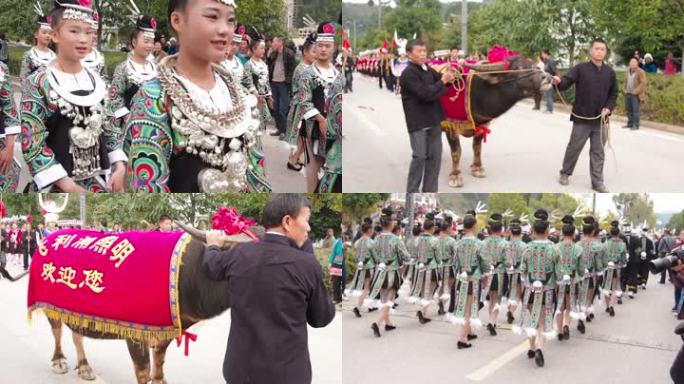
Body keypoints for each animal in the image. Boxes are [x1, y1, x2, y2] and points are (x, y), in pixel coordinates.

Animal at [43, 222, 262, 384]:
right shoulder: (135, 334)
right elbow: (143, 370)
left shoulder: (165, 330)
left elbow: (159, 359)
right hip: (48, 307)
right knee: (56, 331)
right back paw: (59, 361)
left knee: (76, 334)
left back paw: (84, 367)